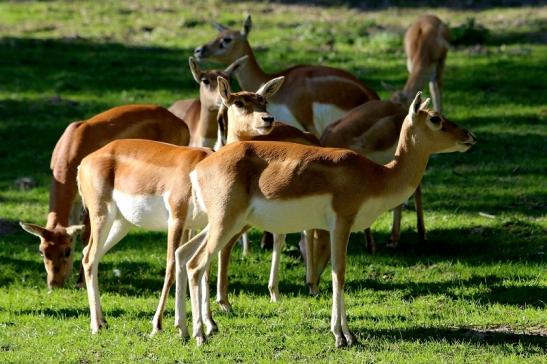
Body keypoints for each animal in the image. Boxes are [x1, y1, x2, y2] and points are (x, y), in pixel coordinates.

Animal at [19, 104, 191, 290]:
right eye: (41, 251)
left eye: (66, 250)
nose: (54, 284)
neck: (72, 150)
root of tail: (182, 123)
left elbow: (86, 237)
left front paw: (80, 282)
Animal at [76, 77, 286, 336]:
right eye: (238, 102)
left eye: (263, 100)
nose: (268, 119)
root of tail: (86, 161)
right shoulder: (176, 219)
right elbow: (172, 264)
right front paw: (158, 324)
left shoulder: (201, 224)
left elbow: (201, 267)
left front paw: (209, 324)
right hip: (100, 215)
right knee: (89, 258)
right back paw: (96, 325)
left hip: (121, 223)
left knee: (90, 256)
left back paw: (103, 320)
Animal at [174, 91, 476, 346]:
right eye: (436, 119)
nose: (469, 136)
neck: (377, 176)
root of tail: (201, 166)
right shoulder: (341, 223)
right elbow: (338, 274)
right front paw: (341, 336)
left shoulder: (336, 229)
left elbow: (333, 273)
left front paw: (347, 334)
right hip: (225, 222)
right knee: (197, 265)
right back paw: (201, 335)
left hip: (221, 223)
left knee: (182, 254)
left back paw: (184, 330)